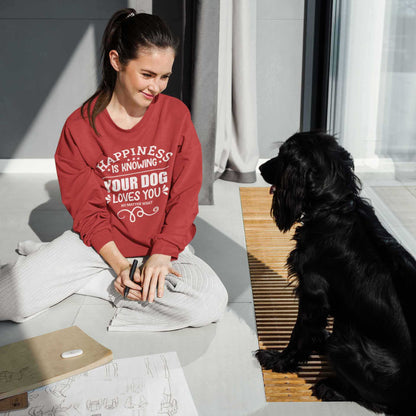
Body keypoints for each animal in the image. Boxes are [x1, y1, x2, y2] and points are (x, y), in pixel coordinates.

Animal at [255, 132, 414, 412]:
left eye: (284, 155)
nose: (261, 168)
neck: (332, 208)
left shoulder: (313, 293)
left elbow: (299, 334)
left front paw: (279, 361)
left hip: (347, 342)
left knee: (373, 400)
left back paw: (330, 388)